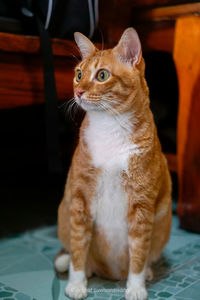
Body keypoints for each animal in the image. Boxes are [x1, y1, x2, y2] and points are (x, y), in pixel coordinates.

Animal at [54, 28, 172, 300]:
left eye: (102, 75)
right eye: (78, 74)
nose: (78, 92)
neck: (110, 128)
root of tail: (109, 273)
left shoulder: (142, 205)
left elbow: (138, 253)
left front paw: (136, 287)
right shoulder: (79, 199)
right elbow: (78, 246)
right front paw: (76, 283)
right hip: (63, 211)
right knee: (73, 252)